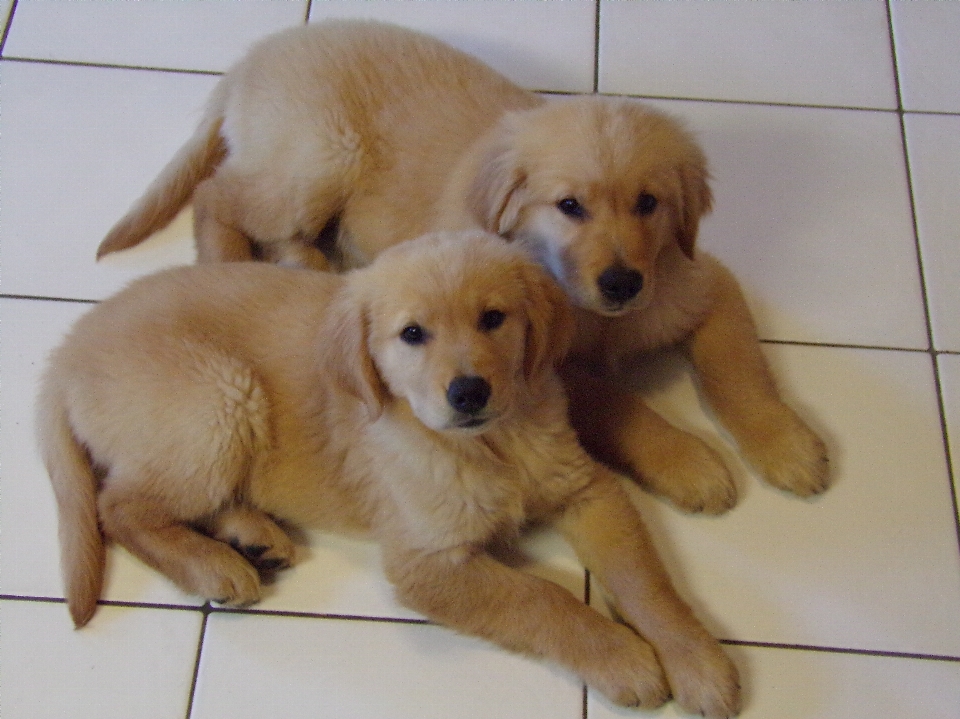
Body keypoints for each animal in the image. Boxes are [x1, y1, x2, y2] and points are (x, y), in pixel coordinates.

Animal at [37, 233, 740, 716]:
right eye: (412, 335)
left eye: (493, 319)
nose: (468, 391)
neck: (489, 445)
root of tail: (66, 349)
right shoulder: (426, 561)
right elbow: (543, 598)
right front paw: (622, 657)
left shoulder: (585, 489)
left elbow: (646, 580)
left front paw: (698, 662)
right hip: (217, 398)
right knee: (119, 506)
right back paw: (213, 565)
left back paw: (249, 535)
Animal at [99, 19, 832, 516]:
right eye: (570, 206)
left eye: (649, 203)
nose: (623, 283)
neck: (594, 310)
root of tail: (255, 56)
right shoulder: (543, 365)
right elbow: (620, 402)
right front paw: (688, 461)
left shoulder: (696, 279)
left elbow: (741, 366)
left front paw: (787, 444)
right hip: (316, 158)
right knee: (217, 193)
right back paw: (230, 262)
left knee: (284, 232)